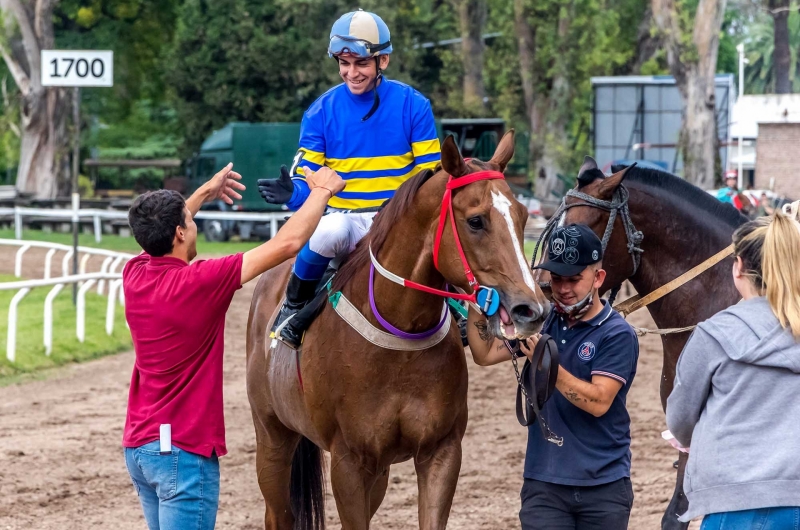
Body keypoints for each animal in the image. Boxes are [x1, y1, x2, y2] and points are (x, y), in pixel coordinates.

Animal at [245, 133, 552, 528]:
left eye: (522, 215)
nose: (533, 309)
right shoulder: (349, 463)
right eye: (476, 221)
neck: (398, 337)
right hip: (272, 438)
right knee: (277, 512)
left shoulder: (441, 452)